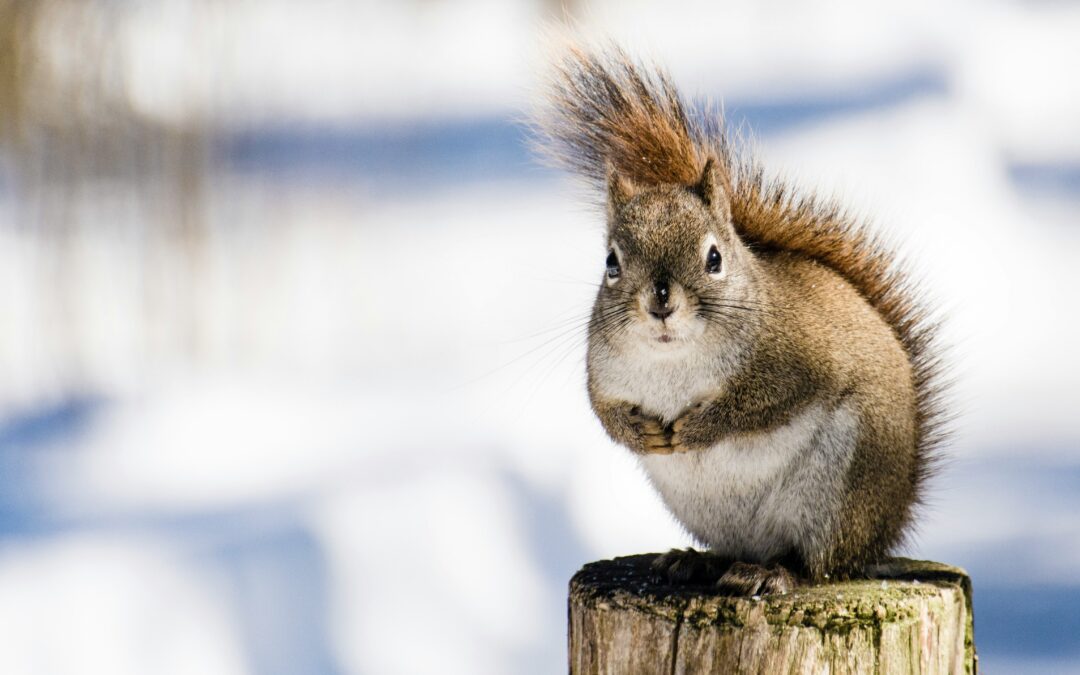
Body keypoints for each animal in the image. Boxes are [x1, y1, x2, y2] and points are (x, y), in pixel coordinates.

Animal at [536, 45, 948, 596]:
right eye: (611, 262)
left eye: (714, 258)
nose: (660, 301)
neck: (673, 360)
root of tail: (884, 529)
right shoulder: (602, 373)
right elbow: (603, 412)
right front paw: (640, 433)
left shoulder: (798, 362)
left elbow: (762, 405)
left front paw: (698, 427)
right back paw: (696, 561)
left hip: (841, 490)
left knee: (817, 563)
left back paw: (773, 571)